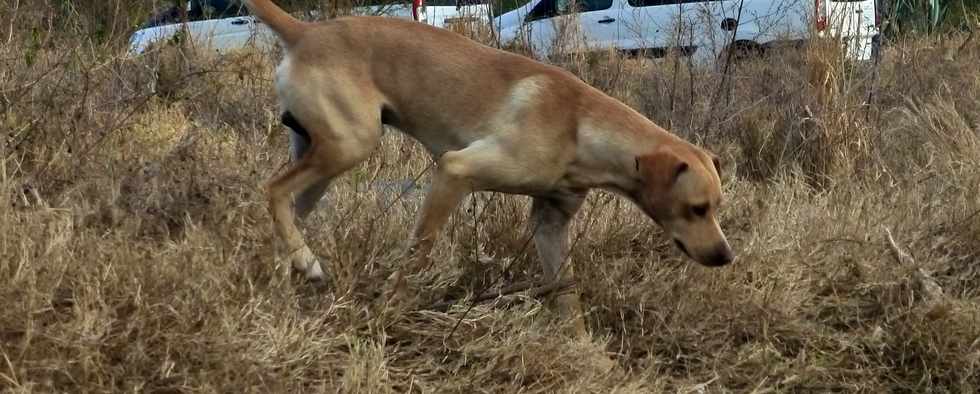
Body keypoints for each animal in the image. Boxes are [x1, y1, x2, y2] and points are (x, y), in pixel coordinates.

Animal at [249, 0, 732, 330]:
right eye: (696, 209)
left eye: (716, 208)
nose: (725, 256)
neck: (580, 126)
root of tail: (305, 31)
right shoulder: (455, 171)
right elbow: (418, 252)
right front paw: (392, 306)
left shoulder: (551, 223)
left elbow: (567, 294)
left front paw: (588, 353)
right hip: (350, 145)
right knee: (272, 191)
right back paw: (306, 264)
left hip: (320, 160)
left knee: (287, 212)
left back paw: (287, 279)